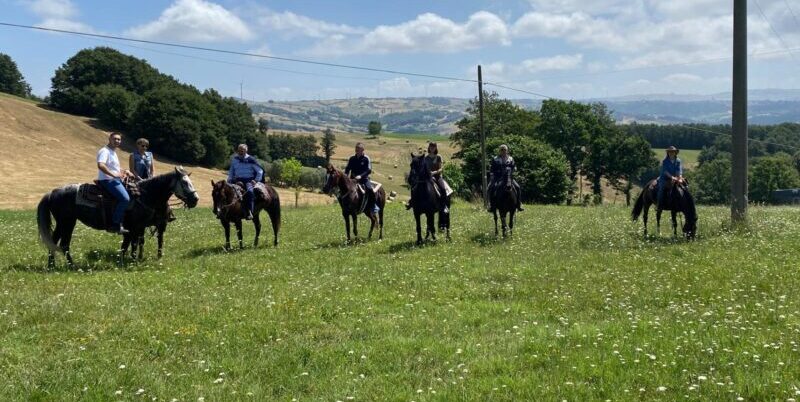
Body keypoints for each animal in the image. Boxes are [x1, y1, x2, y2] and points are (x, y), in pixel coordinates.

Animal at [37, 166, 200, 266]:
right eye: (184, 183)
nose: (195, 199)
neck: (144, 195)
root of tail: (52, 192)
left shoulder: (136, 228)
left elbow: (127, 245)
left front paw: (123, 261)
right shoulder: (135, 227)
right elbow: (132, 244)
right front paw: (132, 261)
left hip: (62, 223)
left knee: (53, 242)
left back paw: (51, 265)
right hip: (67, 222)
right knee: (64, 244)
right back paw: (72, 265)